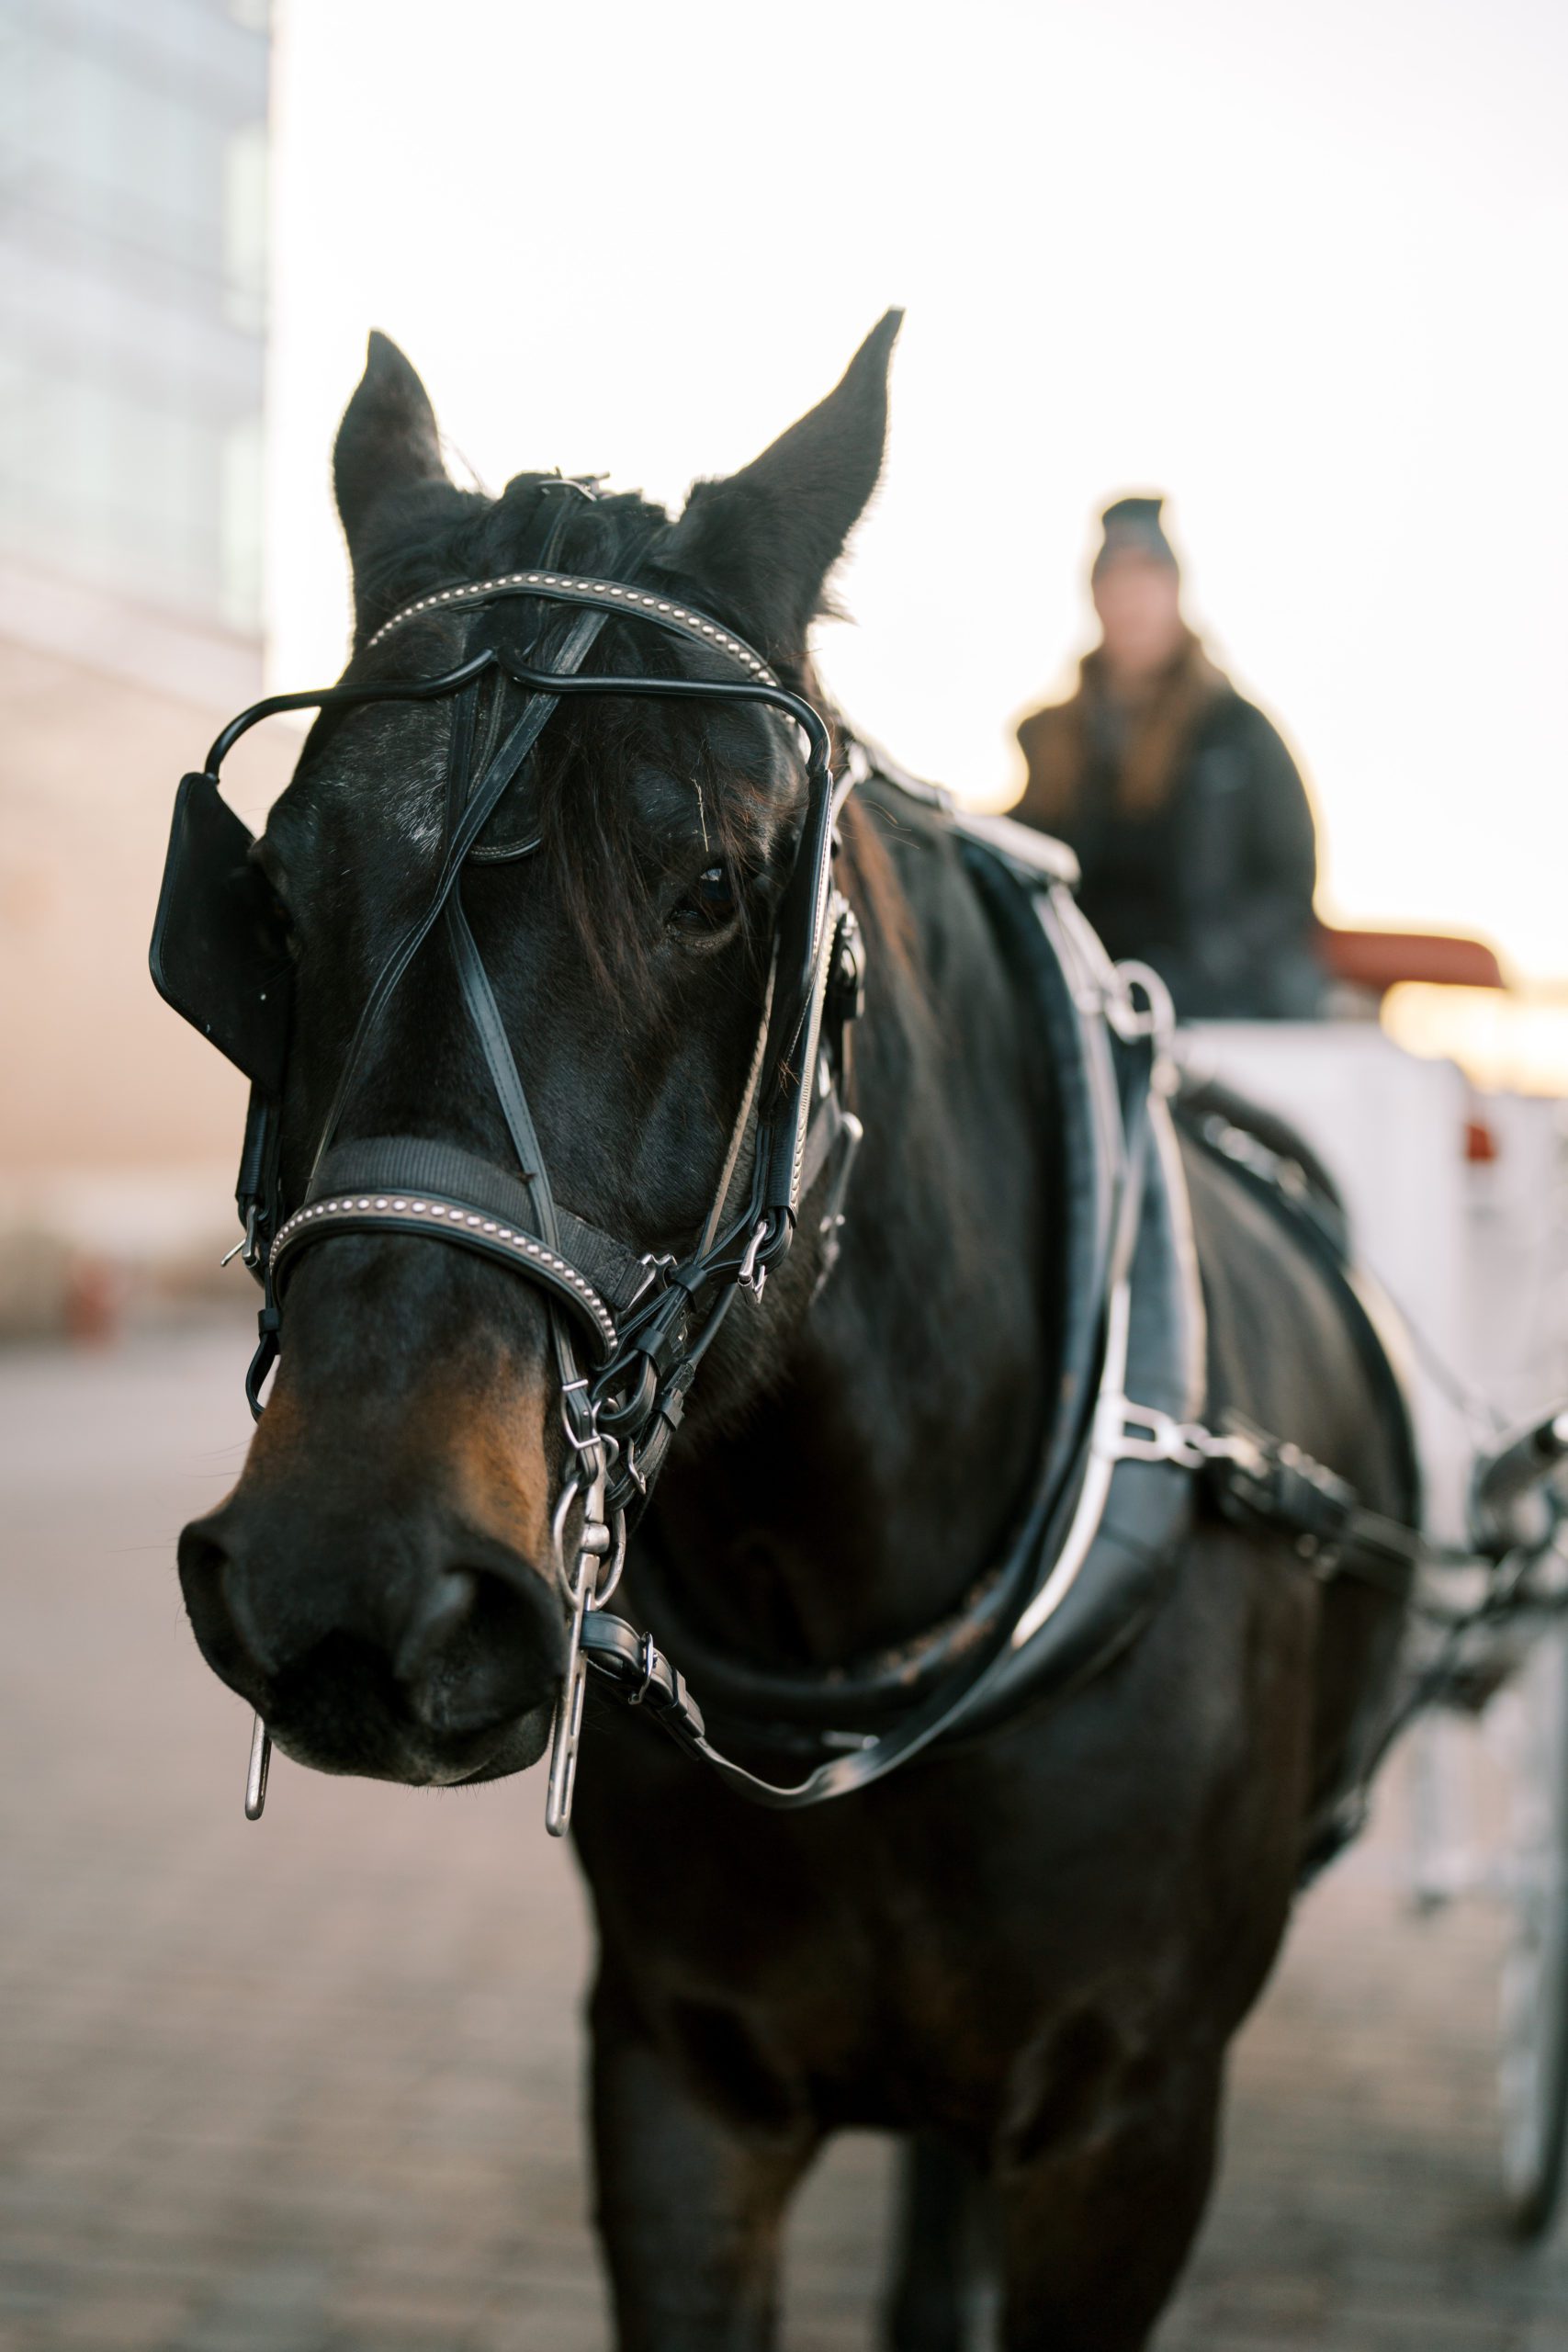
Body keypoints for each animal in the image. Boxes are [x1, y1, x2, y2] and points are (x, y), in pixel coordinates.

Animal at [169, 317, 1410, 2352]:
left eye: (712, 891)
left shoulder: (1130, 2129)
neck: (858, 1623)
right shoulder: (675, 2082)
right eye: (271, 897)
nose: (345, 1569)